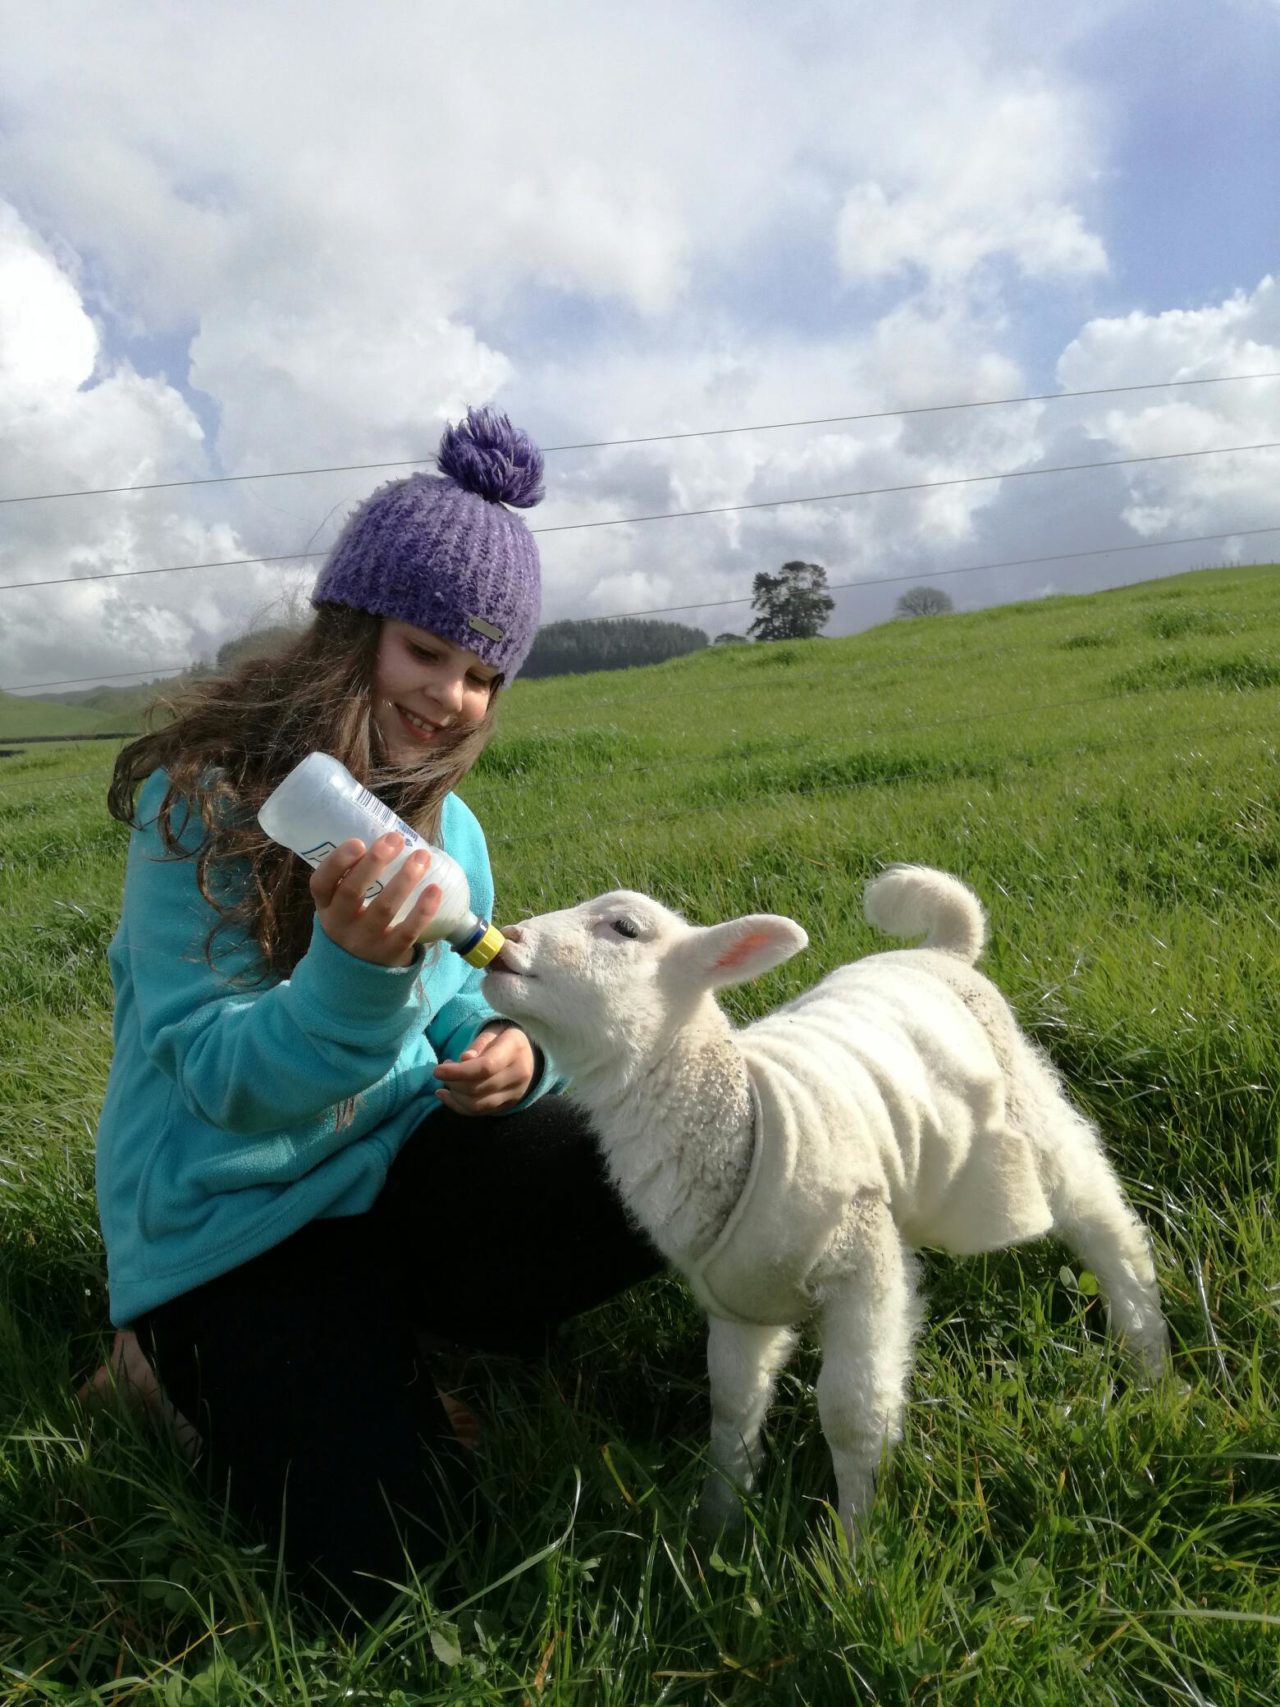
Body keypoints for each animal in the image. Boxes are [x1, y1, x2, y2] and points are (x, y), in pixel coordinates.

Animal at [484, 864, 1171, 1539]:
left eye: (625, 928)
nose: (506, 938)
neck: (737, 1116)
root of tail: (940, 950)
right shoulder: (737, 1296)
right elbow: (732, 1406)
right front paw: (718, 1523)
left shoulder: (857, 1264)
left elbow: (851, 1412)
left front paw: (857, 1546)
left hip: (1029, 1109)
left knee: (1106, 1224)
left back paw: (1151, 1364)